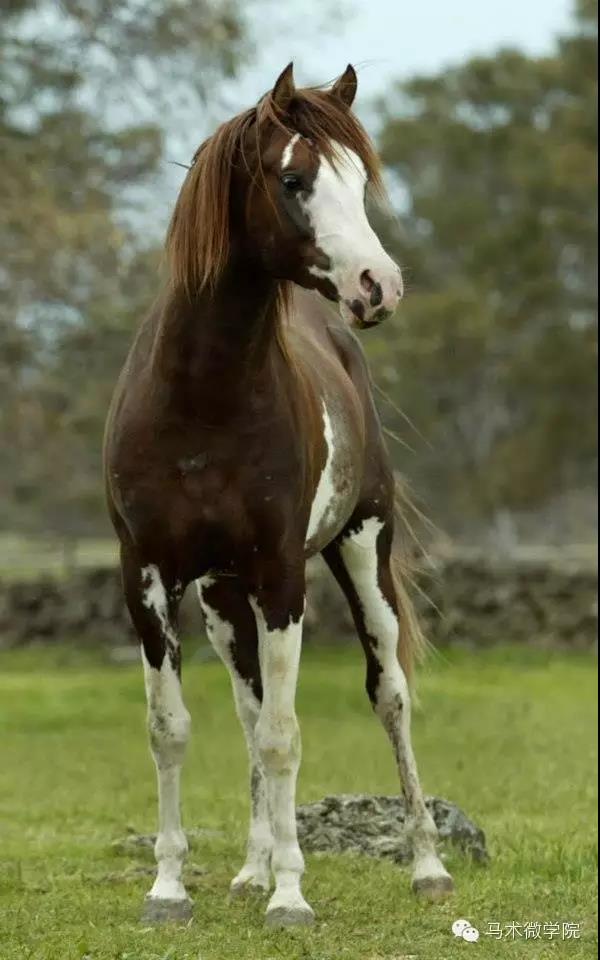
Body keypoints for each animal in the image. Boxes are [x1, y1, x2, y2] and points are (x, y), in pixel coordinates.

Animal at [103, 62, 452, 928]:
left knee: (390, 695)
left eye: (358, 180)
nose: (379, 285)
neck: (201, 398)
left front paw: (292, 898)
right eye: (294, 180)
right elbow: (174, 728)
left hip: (361, 552)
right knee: (248, 705)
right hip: (224, 600)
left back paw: (428, 867)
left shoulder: (282, 577)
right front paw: (170, 889)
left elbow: (285, 735)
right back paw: (250, 870)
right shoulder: (147, 577)